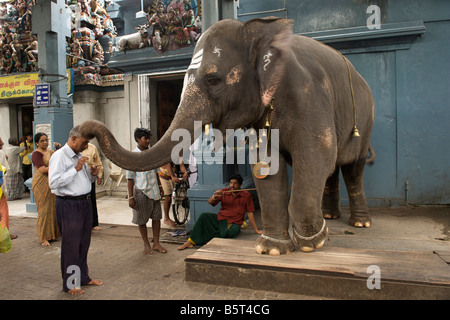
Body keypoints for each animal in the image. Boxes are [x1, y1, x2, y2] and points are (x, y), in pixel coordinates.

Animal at [79, 17, 374, 256]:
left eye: (213, 80)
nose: (83, 130)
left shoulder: (307, 94)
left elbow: (315, 156)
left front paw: (314, 243)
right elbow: (266, 167)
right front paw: (272, 250)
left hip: (366, 118)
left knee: (352, 168)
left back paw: (359, 222)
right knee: (333, 169)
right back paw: (331, 216)